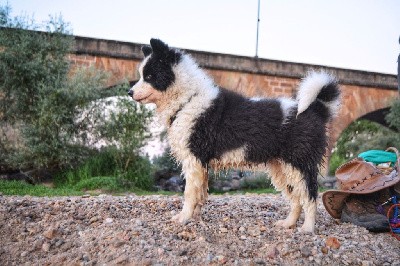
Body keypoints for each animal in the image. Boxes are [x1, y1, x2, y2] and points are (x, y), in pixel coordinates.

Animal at [130, 38, 340, 233]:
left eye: (149, 76)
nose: (129, 92)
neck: (188, 99)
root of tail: (315, 109)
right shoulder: (201, 164)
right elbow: (200, 194)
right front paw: (196, 218)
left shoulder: (193, 159)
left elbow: (190, 193)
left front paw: (183, 218)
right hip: (281, 168)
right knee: (296, 198)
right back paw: (288, 224)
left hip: (299, 164)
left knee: (310, 196)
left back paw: (307, 228)